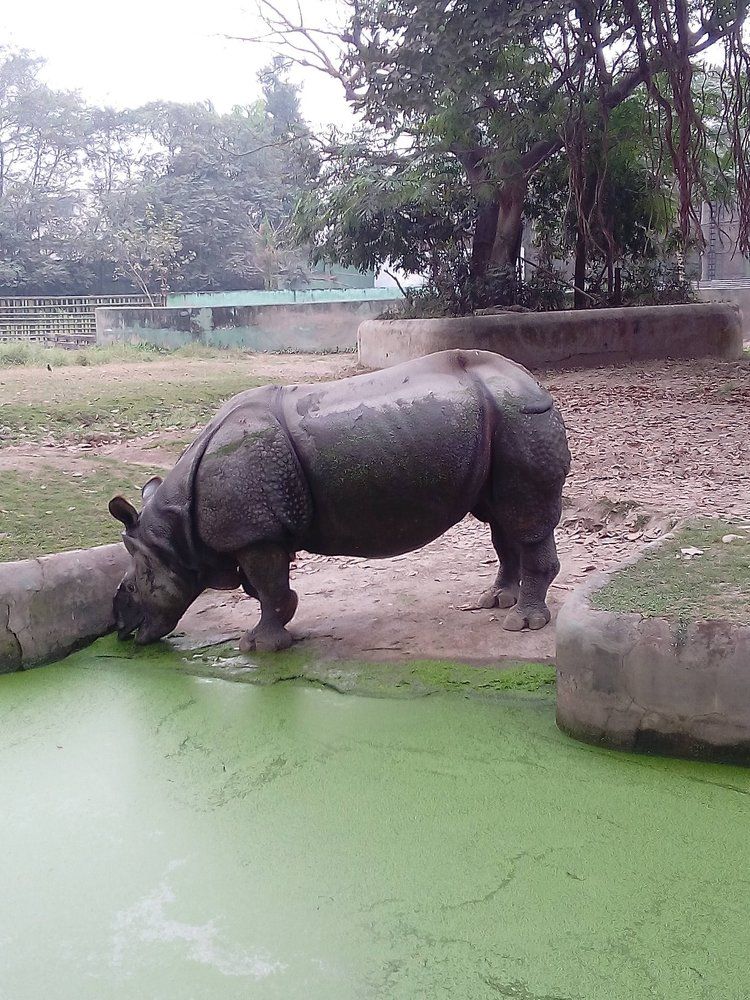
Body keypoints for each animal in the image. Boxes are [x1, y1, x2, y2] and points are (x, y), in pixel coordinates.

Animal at [109, 349, 570, 651]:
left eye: (131, 587)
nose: (121, 630)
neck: (173, 531)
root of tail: (533, 380)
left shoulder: (255, 533)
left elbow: (266, 586)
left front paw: (258, 646)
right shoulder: (259, 532)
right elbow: (264, 587)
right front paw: (282, 620)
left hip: (519, 417)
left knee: (524, 517)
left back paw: (520, 624)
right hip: (500, 419)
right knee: (501, 518)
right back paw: (494, 600)